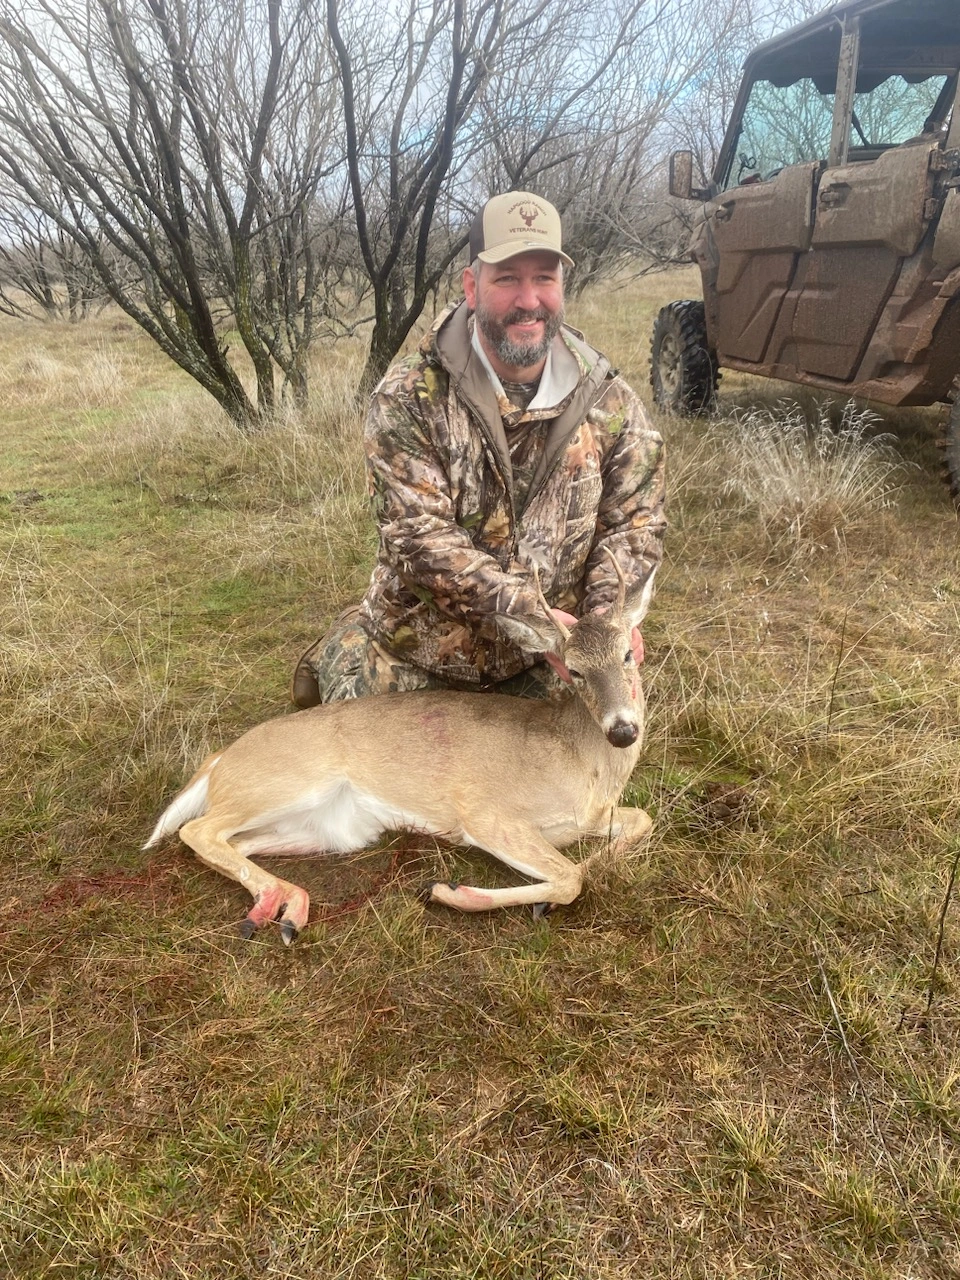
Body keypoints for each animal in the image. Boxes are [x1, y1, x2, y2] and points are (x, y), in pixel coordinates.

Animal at [144, 557, 655, 943]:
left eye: (628, 655)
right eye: (574, 670)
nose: (622, 731)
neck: (582, 767)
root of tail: (219, 760)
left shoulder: (593, 817)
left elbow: (638, 825)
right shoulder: (485, 813)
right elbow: (571, 877)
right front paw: (450, 891)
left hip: (326, 829)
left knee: (236, 844)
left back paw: (284, 909)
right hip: (287, 782)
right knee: (197, 831)